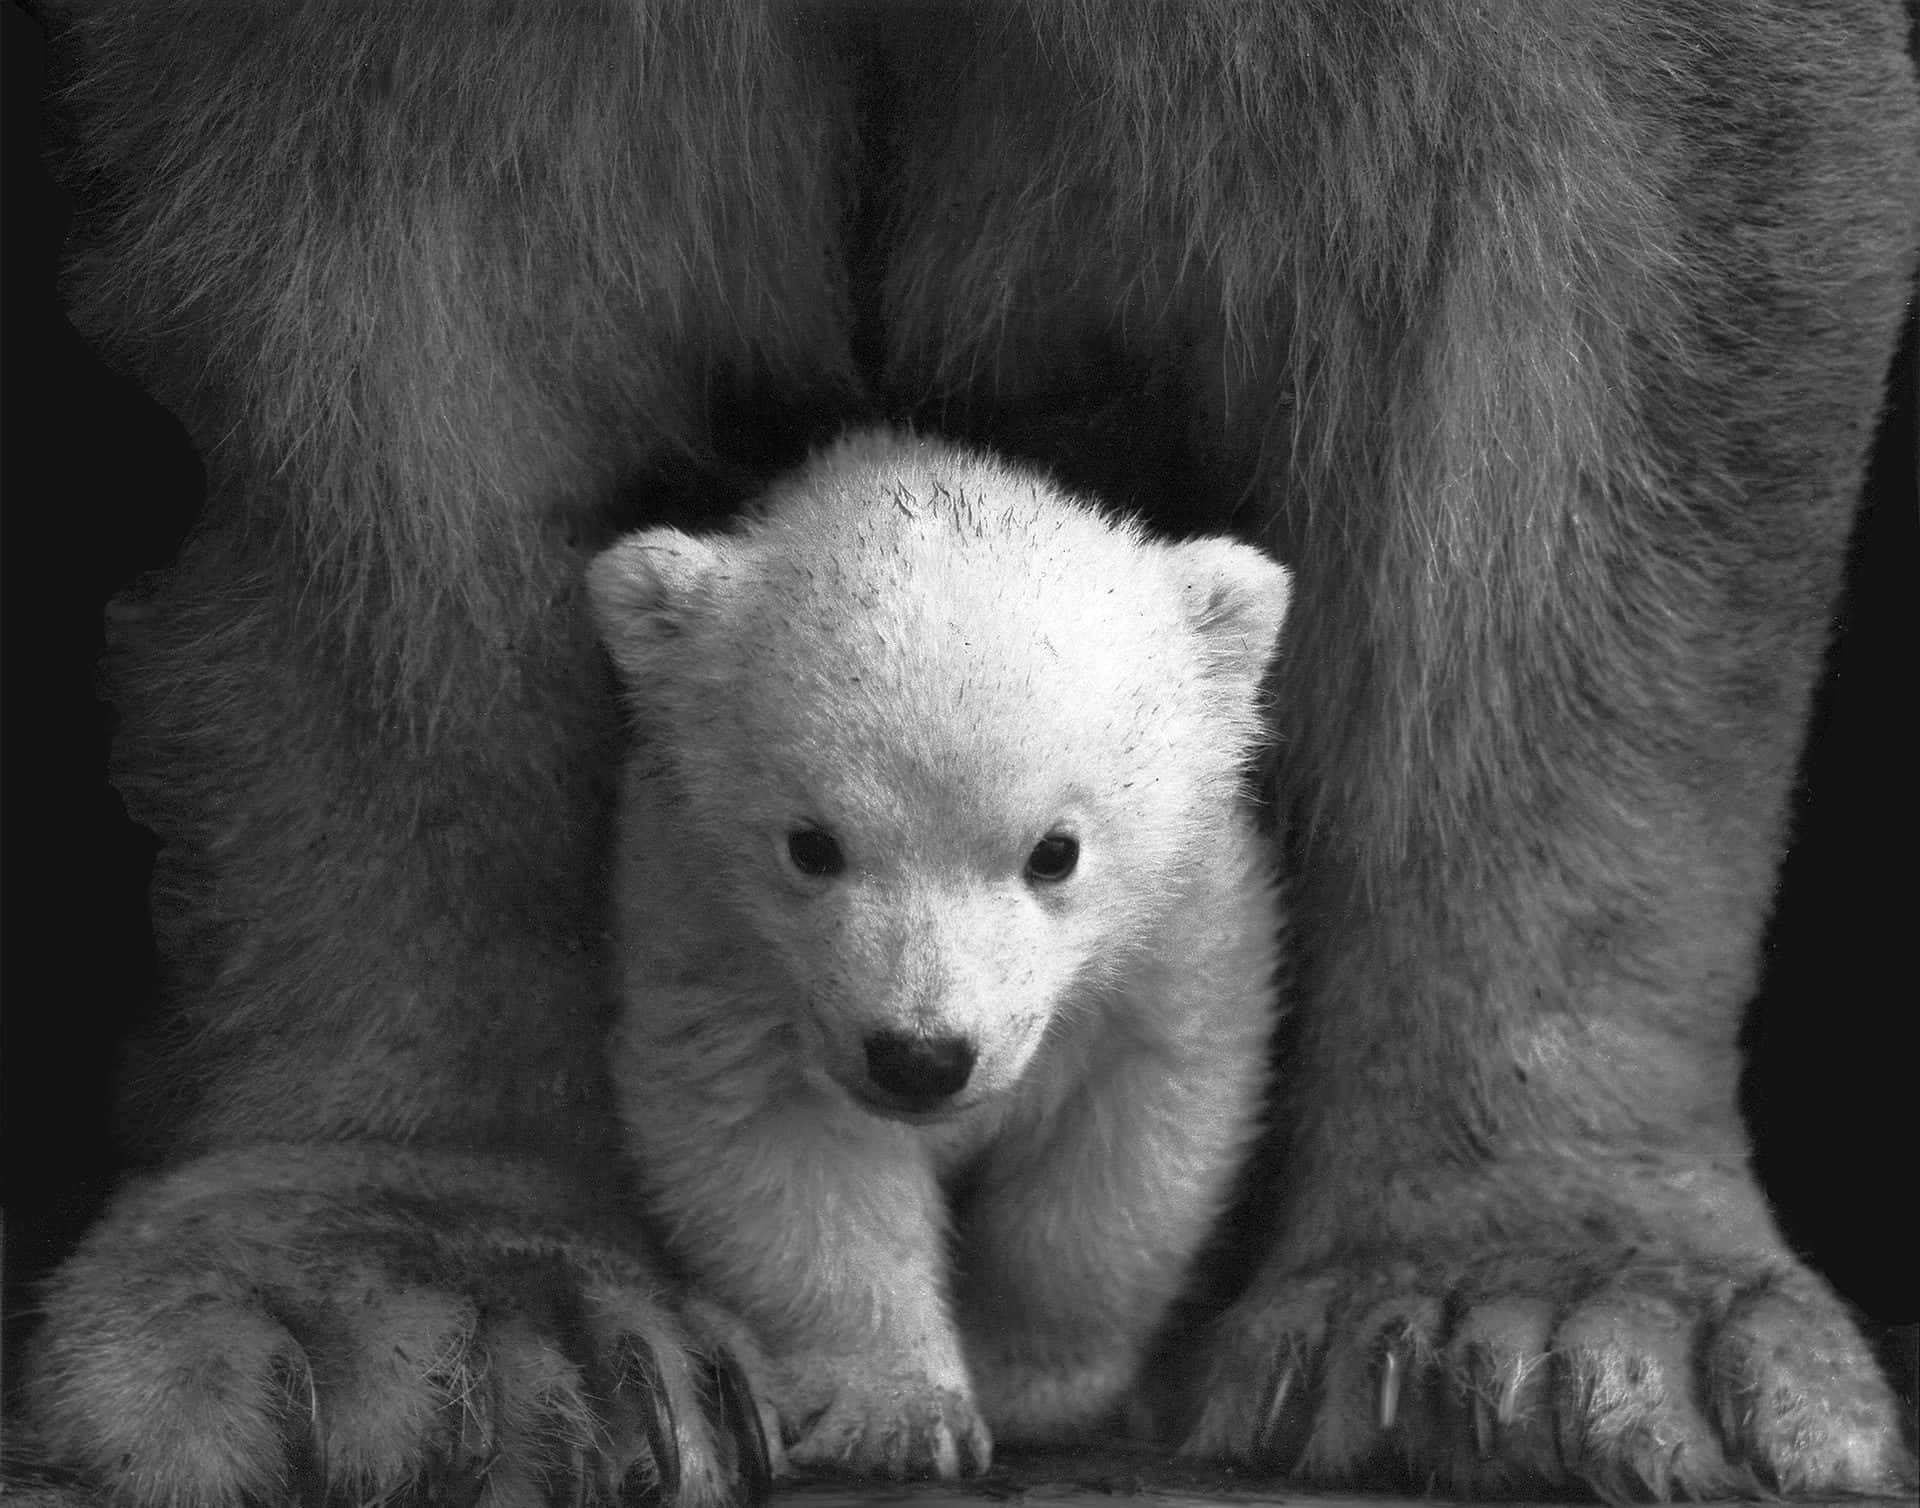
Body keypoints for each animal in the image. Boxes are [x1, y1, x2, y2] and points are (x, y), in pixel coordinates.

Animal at [585, 428, 1289, 1478]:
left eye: (1055, 851)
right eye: (812, 845)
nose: (920, 1058)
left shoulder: (1182, 934)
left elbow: (1130, 1140)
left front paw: (1034, 1382)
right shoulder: (710, 934)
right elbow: (779, 1144)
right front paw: (901, 1412)